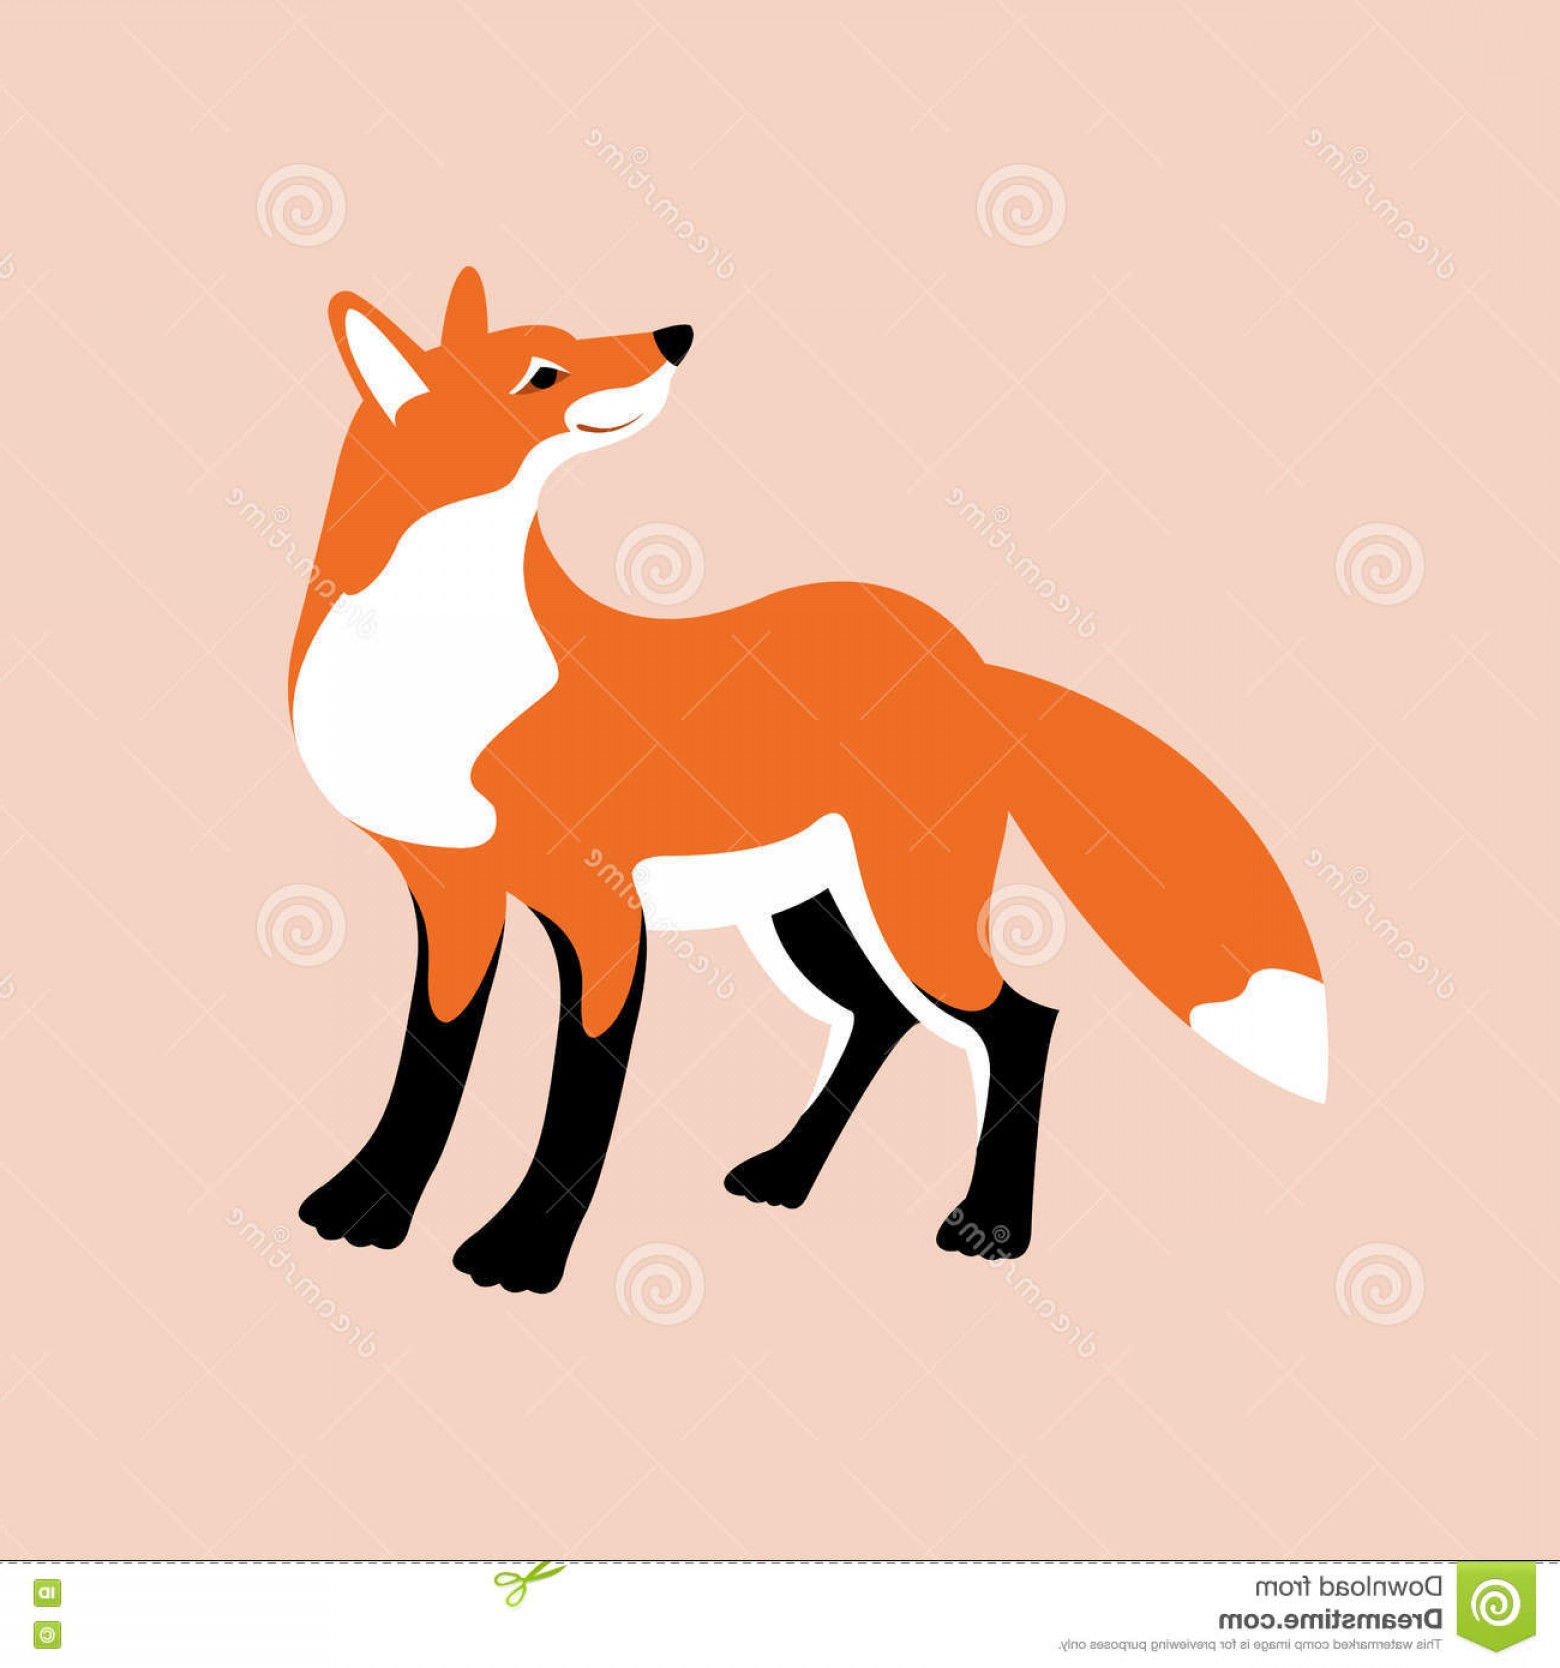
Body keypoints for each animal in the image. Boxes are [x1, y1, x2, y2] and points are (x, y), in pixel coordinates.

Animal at [289, 267, 1326, 1294]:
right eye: (541, 372)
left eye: (569, 347)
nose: (675, 336)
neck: (446, 672)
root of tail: (972, 659)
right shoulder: (451, 893)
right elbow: (427, 1067)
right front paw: (368, 1208)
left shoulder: (603, 910)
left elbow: (578, 1094)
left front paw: (525, 1251)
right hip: (807, 907)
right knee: (881, 1017)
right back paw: (789, 1173)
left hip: (913, 909)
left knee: (1019, 1021)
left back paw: (993, 1225)